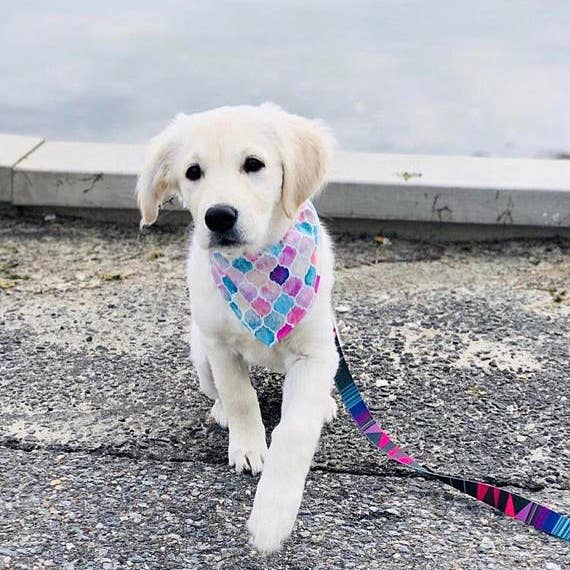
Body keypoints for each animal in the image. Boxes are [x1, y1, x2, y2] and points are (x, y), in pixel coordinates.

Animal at [136, 103, 338, 552]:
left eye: (254, 164)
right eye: (193, 172)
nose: (219, 216)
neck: (258, 266)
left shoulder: (316, 353)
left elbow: (294, 431)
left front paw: (272, 515)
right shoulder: (219, 345)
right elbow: (242, 397)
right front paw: (247, 446)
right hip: (199, 355)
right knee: (220, 392)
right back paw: (220, 412)